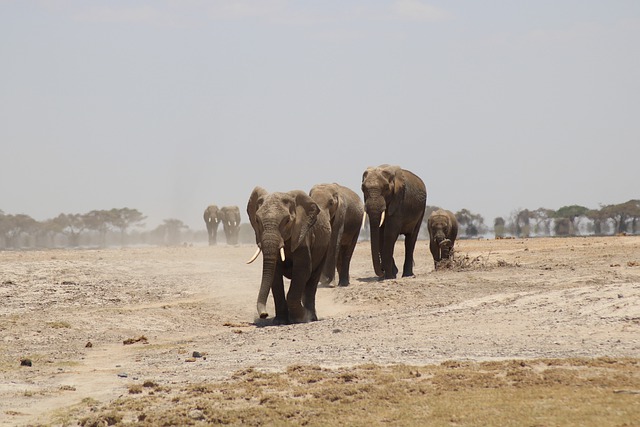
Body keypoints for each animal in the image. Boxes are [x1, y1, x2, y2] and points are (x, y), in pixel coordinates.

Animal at [246, 187, 331, 324]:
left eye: (287, 221)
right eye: (257, 221)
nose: (264, 314)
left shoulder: (302, 235)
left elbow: (302, 270)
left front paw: (300, 318)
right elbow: (274, 275)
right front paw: (280, 322)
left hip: (325, 247)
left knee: (313, 279)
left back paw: (311, 317)